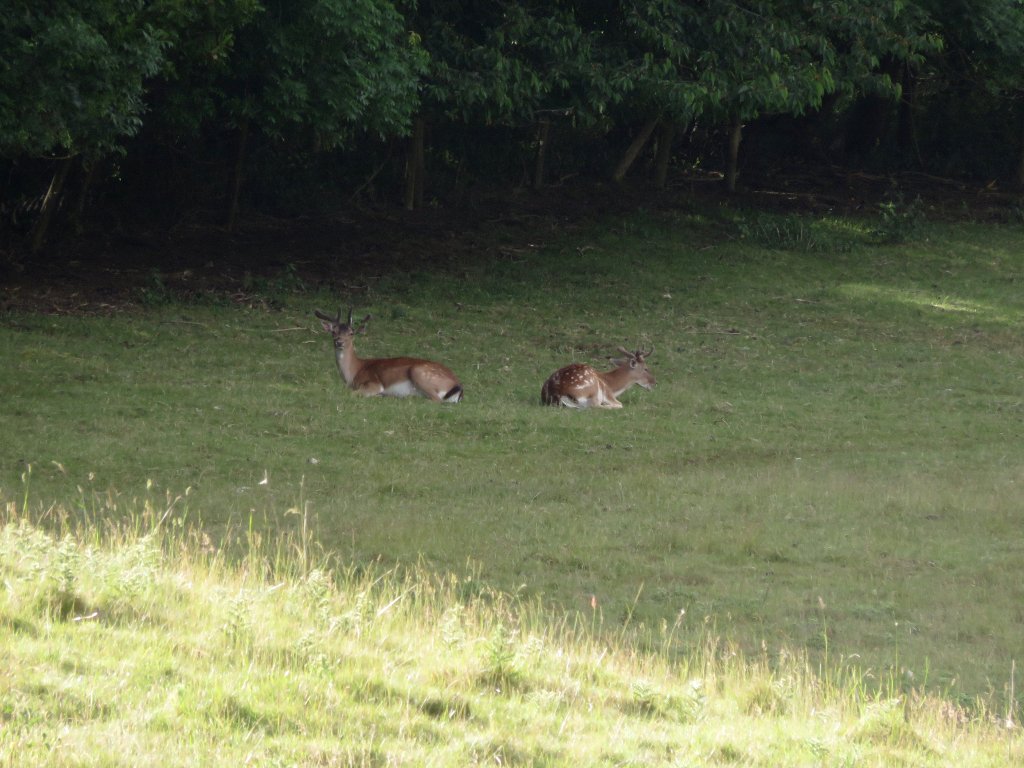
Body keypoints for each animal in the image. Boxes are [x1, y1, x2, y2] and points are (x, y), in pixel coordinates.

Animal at [313, 307, 466, 403]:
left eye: (351, 333)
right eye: (333, 332)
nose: (339, 342)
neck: (353, 373)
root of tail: (457, 387)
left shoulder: (373, 383)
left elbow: (351, 393)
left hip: (419, 372)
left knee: (437, 400)